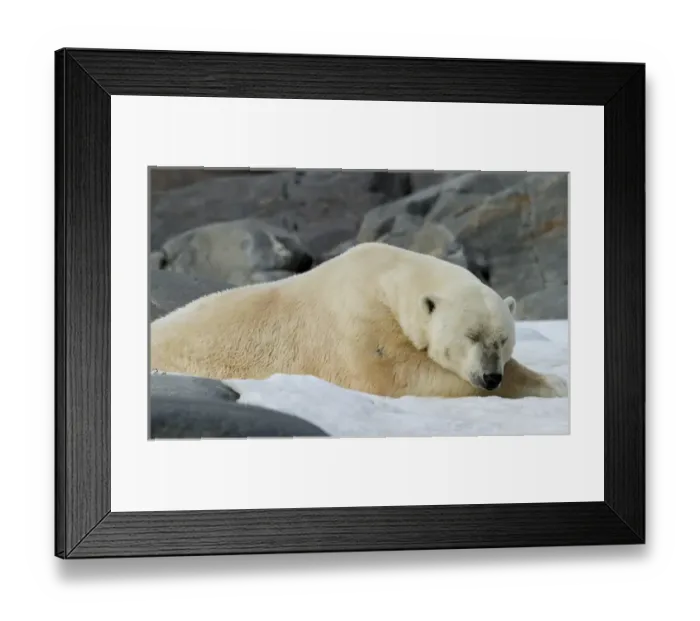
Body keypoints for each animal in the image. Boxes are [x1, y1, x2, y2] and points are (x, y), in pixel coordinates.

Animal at [150, 242, 567, 399]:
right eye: (470, 335)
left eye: (503, 340)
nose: (490, 376)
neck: (385, 276)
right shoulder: (359, 323)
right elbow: (399, 374)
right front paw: (552, 385)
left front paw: (550, 379)